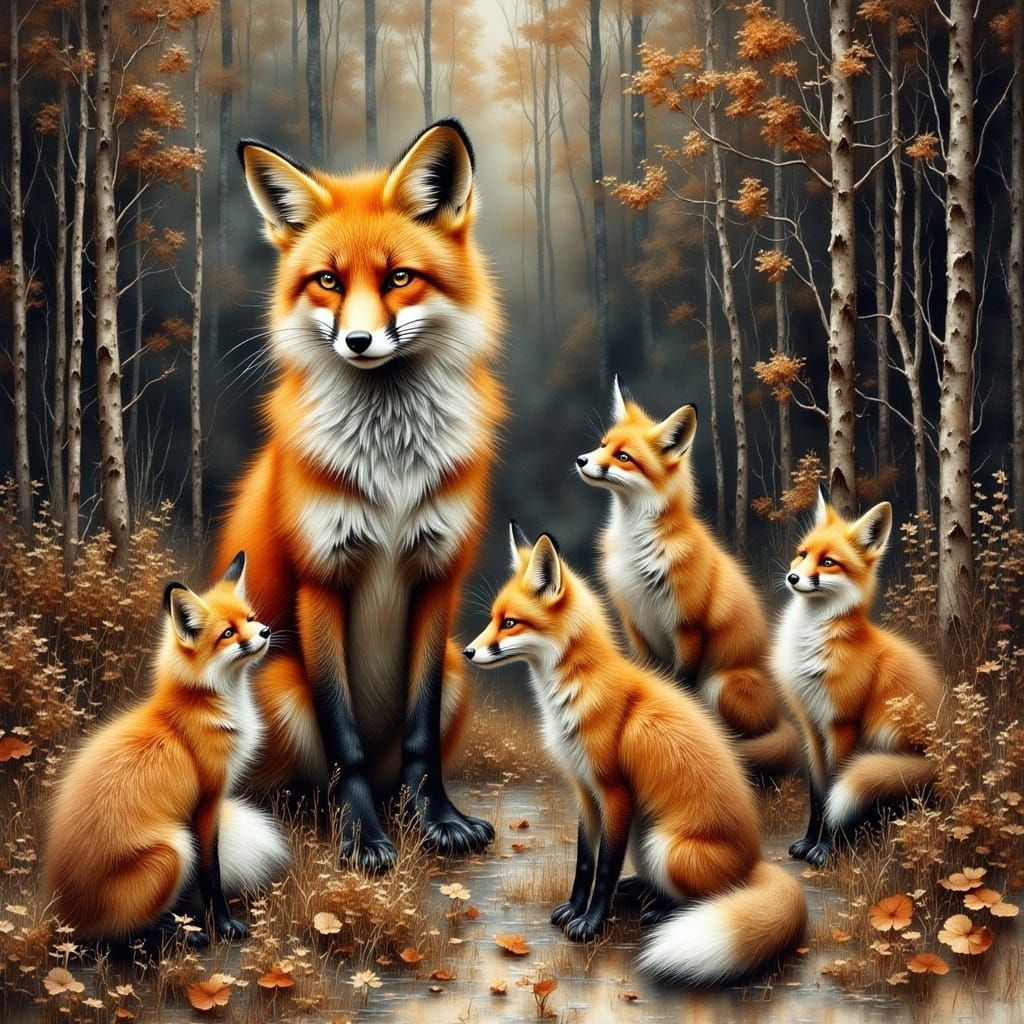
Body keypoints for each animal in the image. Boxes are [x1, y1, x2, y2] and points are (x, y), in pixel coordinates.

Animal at [43, 553, 290, 943]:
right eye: (228, 633)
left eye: (250, 619)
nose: (265, 631)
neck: (202, 704)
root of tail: (64, 913)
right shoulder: (207, 801)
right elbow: (211, 874)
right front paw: (223, 925)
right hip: (175, 848)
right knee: (121, 934)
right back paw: (178, 932)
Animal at [214, 119, 503, 872]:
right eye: (327, 281)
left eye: (399, 277)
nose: (359, 339)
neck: (392, 471)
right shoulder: (321, 579)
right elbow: (343, 740)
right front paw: (364, 839)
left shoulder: (438, 577)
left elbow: (421, 736)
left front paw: (437, 821)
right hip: (279, 685)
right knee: (296, 785)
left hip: (460, 669)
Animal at [465, 525, 808, 986]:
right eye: (492, 619)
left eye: (510, 622)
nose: (467, 652)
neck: (573, 696)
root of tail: (755, 863)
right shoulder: (584, 790)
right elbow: (585, 863)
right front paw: (574, 909)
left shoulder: (614, 792)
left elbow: (605, 868)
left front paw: (590, 924)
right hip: (645, 842)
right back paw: (640, 890)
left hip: (664, 846)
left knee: (708, 899)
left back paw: (661, 911)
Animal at [575, 376, 799, 778]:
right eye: (602, 445)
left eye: (623, 457)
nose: (581, 460)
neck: (637, 552)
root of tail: (778, 714)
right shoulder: (635, 622)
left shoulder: (687, 624)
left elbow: (683, 686)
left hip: (723, 685)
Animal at [776, 491, 944, 868]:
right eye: (802, 553)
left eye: (828, 563)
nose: (792, 577)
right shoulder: (812, 726)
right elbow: (818, 795)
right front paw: (808, 843)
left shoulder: (843, 724)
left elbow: (835, 790)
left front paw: (826, 850)